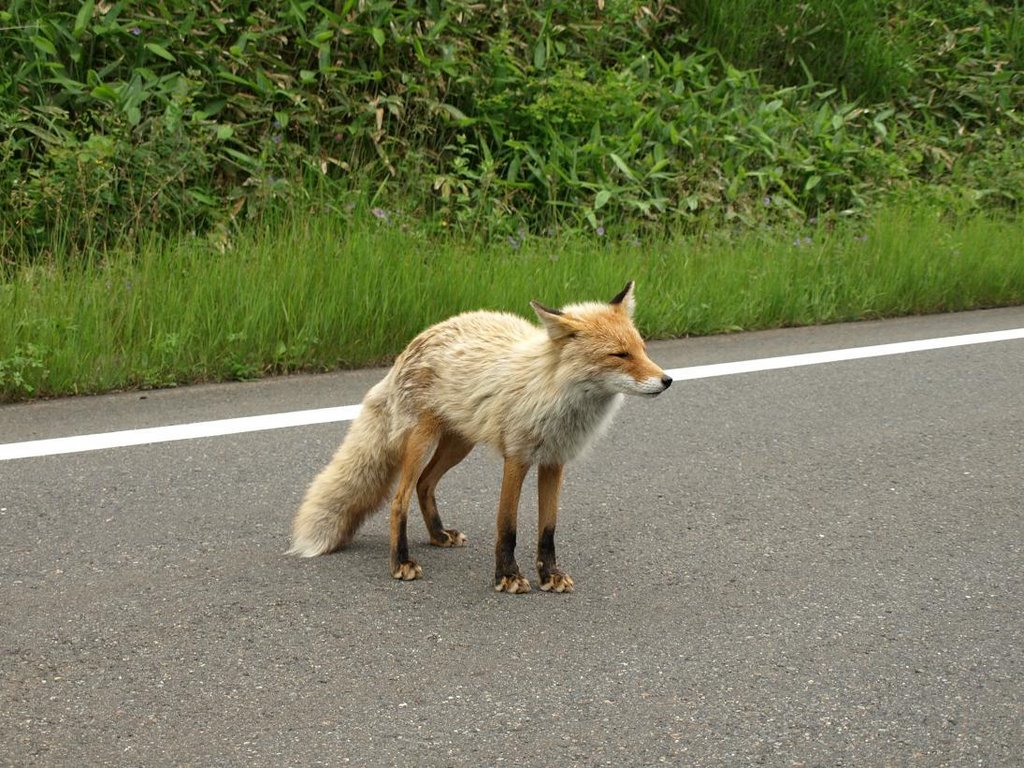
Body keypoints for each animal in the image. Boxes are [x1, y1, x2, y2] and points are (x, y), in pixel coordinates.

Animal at [288, 282, 671, 593]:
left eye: (642, 349)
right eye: (619, 355)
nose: (667, 380)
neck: (552, 392)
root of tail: (418, 339)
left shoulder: (554, 460)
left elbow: (547, 530)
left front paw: (549, 575)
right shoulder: (517, 456)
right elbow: (508, 526)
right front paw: (508, 576)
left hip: (459, 444)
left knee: (424, 484)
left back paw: (438, 536)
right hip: (422, 440)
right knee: (399, 499)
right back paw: (401, 563)